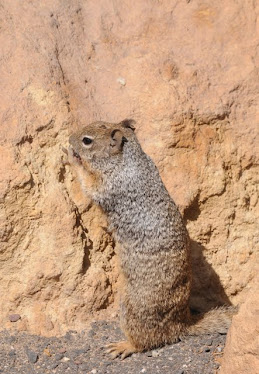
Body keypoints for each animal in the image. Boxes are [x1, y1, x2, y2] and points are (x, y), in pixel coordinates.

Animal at [66, 120, 236, 360]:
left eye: (87, 140)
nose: (70, 139)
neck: (128, 159)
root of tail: (181, 325)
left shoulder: (109, 186)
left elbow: (89, 186)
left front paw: (71, 158)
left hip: (131, 310)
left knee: (148, 341)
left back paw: (125, 346)